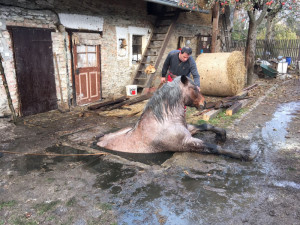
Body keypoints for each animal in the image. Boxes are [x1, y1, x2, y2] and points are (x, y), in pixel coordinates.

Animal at [98, 76, 251, 161]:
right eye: (194, 88)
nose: (204, 103)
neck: (163, 121)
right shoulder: (186, 143)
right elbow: (212, 147)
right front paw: (245, 154)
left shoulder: (188, 130)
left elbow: (205, 126)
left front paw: (222, 135)